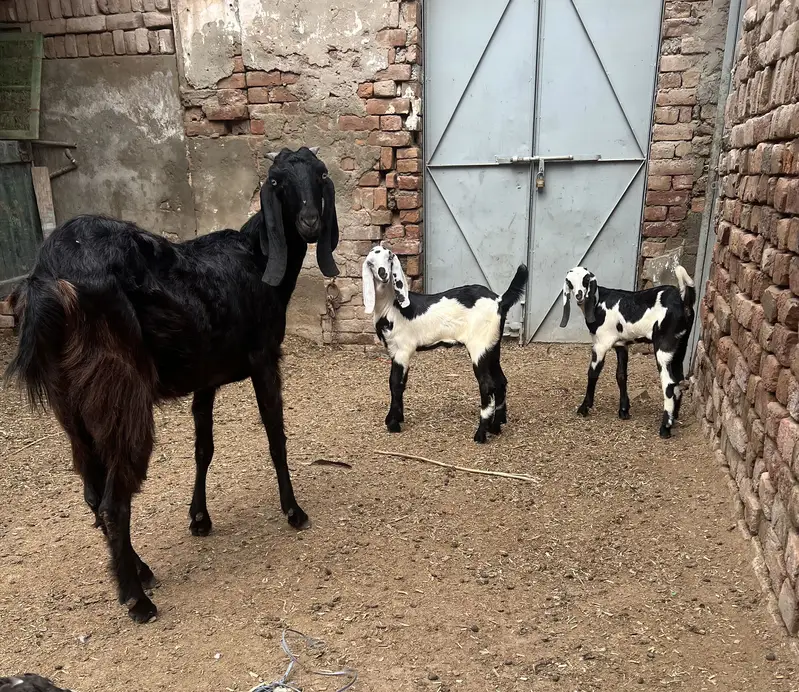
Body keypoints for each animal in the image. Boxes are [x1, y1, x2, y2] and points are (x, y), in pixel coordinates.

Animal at [5, 146, 339, 623]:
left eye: (320, 175)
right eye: (278, 183)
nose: (310, 221)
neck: (256, 259)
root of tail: (48, 279)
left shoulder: (206, 378)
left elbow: (204, 447)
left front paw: (199, 519)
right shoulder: (263, 359)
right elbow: (276, 436)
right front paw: (293, 511)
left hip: (70, 405)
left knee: (91, 492)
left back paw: (139, 570)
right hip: (121, 396)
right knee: (112, 502)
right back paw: (137, 600)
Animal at [362, 245, 528, 442]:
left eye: (389, 257)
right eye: (370, 262)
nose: (383, 273)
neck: (391, 306)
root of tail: (499, 301)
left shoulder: (403, 350)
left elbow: (395, 383)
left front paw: (393, 423)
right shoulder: (394, 350)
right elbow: (399, 382)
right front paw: (398, 418)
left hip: (479, 346)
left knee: (487, 386)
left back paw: (480, 434)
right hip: (493, 346)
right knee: (500, 381)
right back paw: (496, 426)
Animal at [559, 265, 696, 438]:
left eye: (586, 280)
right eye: (569, 282)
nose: (579, 295)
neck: (598, 302)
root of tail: (683, 300)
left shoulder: (601, 344)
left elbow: (592, 374)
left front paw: (584, 408)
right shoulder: (621, 345)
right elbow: (621, 375)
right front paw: (624, 410)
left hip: (664, 347)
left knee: (669, 384)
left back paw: (665, 428)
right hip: (680, 348)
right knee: (678, 379)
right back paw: (674, 418)